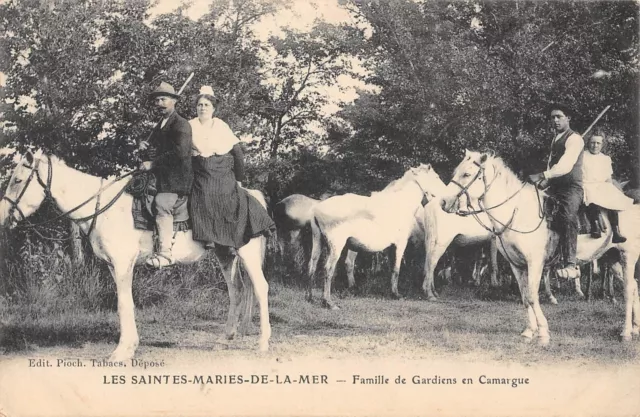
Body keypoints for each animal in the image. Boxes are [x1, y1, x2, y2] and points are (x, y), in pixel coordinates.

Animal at [0, 151, 272, 360]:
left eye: (18, 180)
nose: (3, 217)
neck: (103, 207)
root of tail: (253, 195)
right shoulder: (113, 266)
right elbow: (126, 304)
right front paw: (129, 347)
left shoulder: (122, 264)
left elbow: (123, 304)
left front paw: (121, 352)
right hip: (226, 254)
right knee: (237, 290)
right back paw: (224, 339)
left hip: (246, 254)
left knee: (260, 288)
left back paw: (262, 342)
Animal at [308, 164, 448, 308]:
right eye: (436, 177)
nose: (445, 201)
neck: (400, 204)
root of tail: (316, 209)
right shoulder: (400, 244)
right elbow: (397, 269)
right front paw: (396, 294)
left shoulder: (390, 248)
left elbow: (392, 268)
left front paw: (392, 292)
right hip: (336, 246)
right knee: (328, 269)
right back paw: (329, 302)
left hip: (317, 241)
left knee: (312, 265)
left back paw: (311, 298)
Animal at [440, 151, 640, 342]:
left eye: (467, 174)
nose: (443, 202)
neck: (518, 211)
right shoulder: (517, 265)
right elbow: (525, 297)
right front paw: (529, 332)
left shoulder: (535, 263)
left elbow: (532, 296)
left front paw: (543, 332)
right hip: (613, 259)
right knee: (634, 287)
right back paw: (636, 329)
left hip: (627, 257)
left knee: (628, 291)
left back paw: (626, 333)